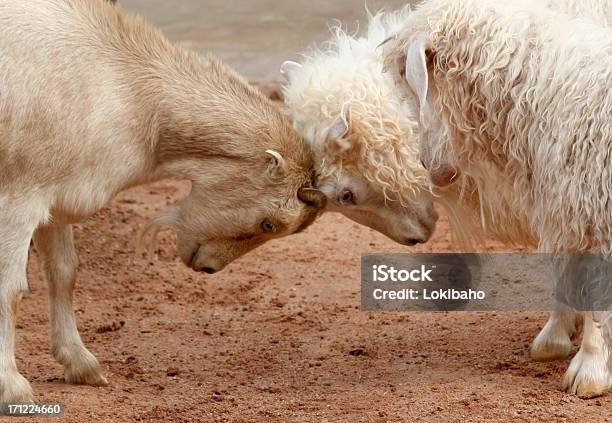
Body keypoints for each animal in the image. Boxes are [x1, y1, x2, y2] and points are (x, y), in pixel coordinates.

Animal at [0, 0, 326, 402]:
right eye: (270, 223)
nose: (208, 267)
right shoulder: (19, 200)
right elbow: (11, 290)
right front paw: (12, 387)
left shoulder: (59, 199)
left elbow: (64, 272)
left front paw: (82, 364)